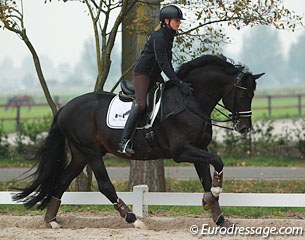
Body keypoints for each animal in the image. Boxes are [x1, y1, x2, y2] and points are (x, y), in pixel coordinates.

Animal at [13, 54, 262, 229]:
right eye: (243, 94)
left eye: (252, 95)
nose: (244, 128)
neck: (191, 102)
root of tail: (65, 107)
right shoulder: (182, 151)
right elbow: (218, 161)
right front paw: (213, 198)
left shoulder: (199, 148)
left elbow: (207, 180)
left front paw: (217, 214)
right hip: (90, 152)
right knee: (105, 185)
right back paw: (134, 219)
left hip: (81, 154)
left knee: (62, 181)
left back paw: (51, 220)